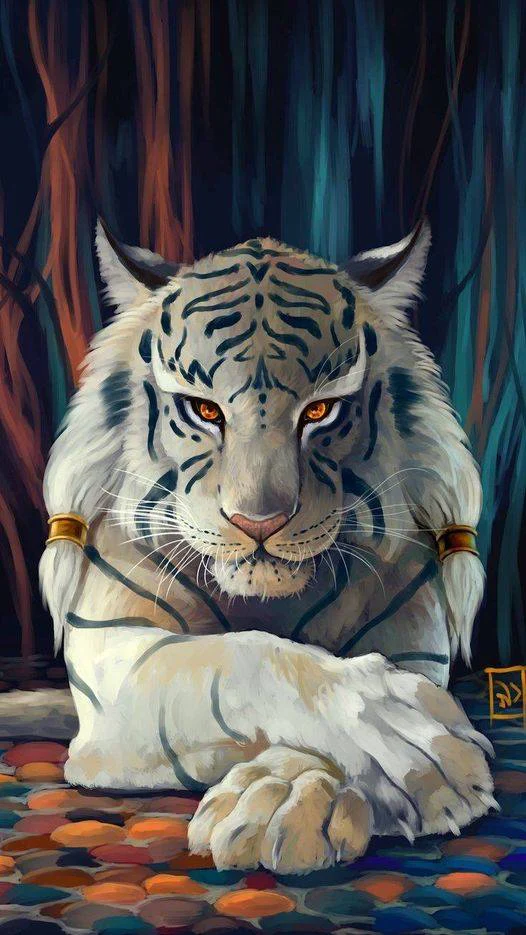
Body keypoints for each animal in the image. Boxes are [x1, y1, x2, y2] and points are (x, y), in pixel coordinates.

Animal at [31, 220, 496, 873]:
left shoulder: (415, 649)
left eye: (321, 410)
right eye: (204, 410)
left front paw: (285, 798)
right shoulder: (115, 662)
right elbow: (238, 659)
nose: (258, 522)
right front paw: (413, 746)